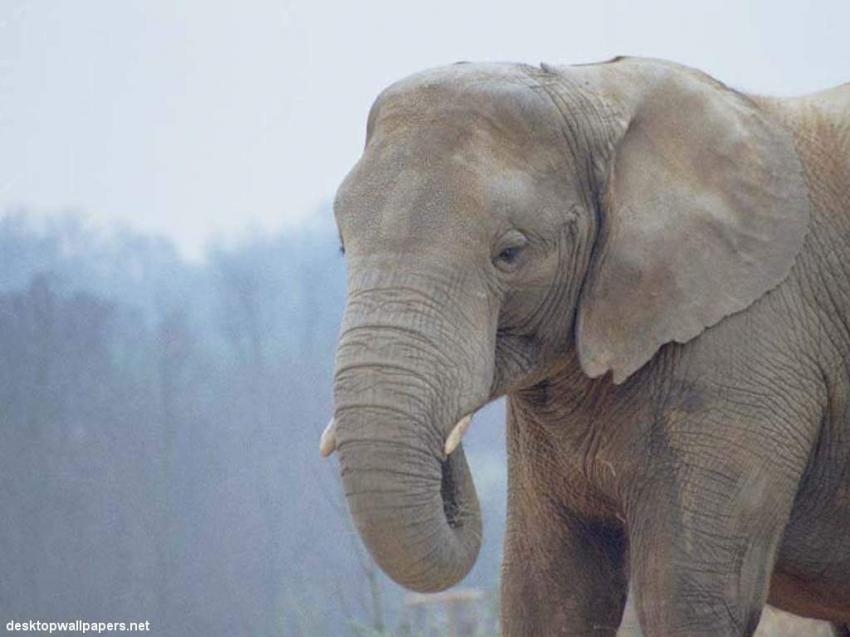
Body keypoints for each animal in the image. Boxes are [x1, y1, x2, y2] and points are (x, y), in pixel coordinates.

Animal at [321, 57, 850, 636]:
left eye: (510, 253)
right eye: (343, 245)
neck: (590, 91)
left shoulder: (748, 348)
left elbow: (689, 600)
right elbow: (548, 593)